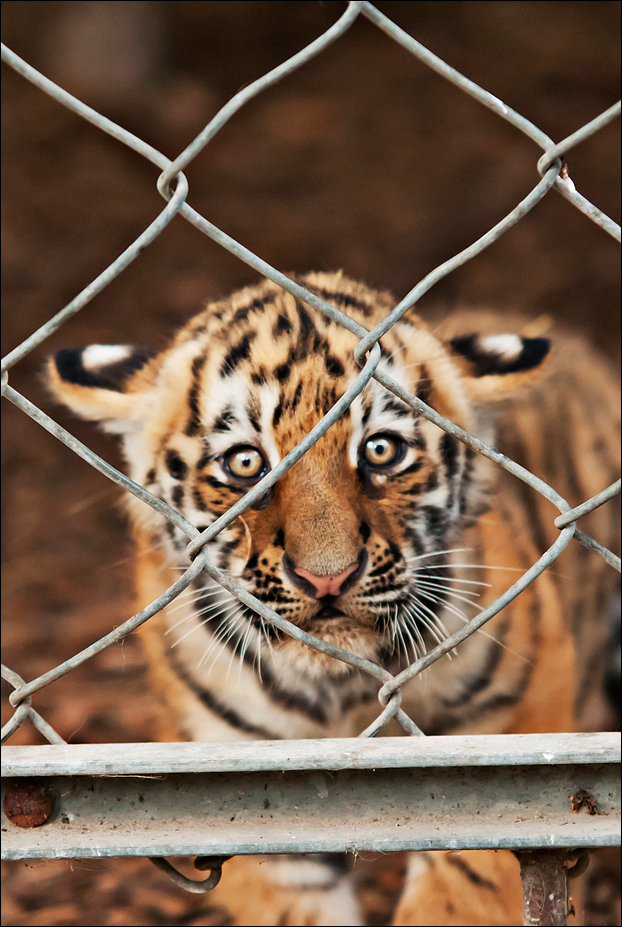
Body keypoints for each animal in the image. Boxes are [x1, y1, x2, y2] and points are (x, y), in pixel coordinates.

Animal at [47, 271, 620, 926]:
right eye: (245, 462)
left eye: (380, 450)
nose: (327, 578)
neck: (339, 690)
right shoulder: (231, 770)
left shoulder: (510, 727)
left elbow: (466, 885)